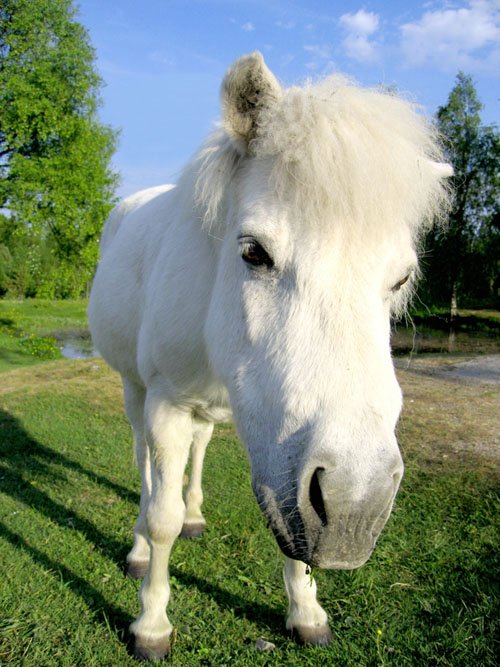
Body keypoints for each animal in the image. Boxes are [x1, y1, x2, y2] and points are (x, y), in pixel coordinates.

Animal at [88, 52, 452, 660]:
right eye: (254, 252)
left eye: (400, 278)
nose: (354, 507)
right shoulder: (167, 402)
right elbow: (160, 516)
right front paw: (151, 624)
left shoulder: (278, 460)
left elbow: (291, 535)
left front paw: (305, 611)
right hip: (135, 391)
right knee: (144, 464)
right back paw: (140, 548)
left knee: (199, 452)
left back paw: (195, 514)